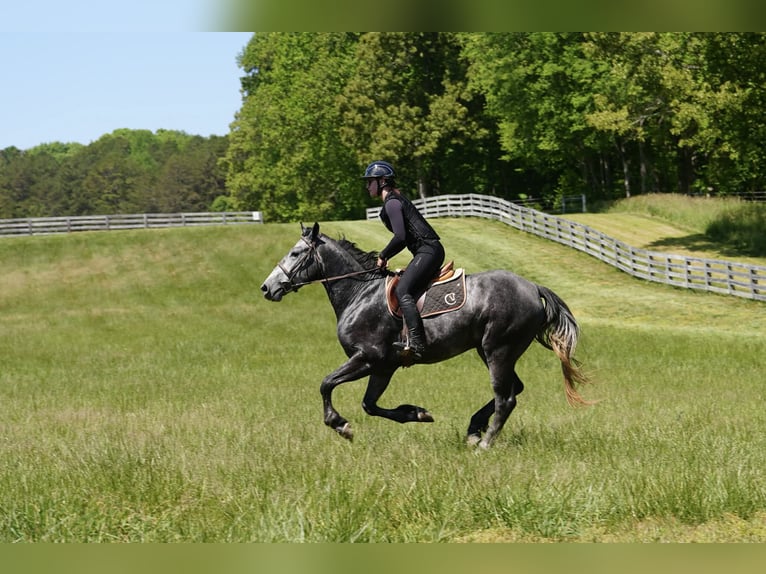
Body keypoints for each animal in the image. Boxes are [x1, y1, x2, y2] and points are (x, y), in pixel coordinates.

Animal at [260, 222, 592, 449]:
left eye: (296, 253)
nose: (267, 287)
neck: (359, 292)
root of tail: (533, 287)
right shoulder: (383, 367)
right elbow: (370, 405)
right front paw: (417, 413)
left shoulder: (367, 358)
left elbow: (326, 384)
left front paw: (340, 425)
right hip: (491, 351)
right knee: (515, 389)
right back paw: (474, 430)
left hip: (498, 350)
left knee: (506, 398)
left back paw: (484, 443)